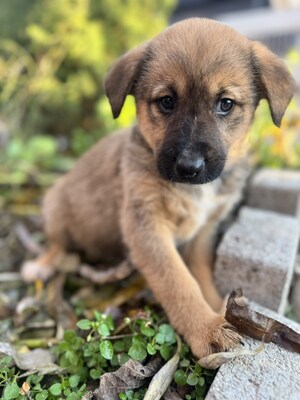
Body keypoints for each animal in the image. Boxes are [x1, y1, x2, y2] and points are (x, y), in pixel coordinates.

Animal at [21, 18, 296, 358]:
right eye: (167, 101)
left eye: (225, 104)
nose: (189, 167)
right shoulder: (147, 227)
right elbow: (178, 282)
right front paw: (207, 328)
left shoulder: (204, 231)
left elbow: (200, 274)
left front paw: (219, 307)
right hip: (56, 208)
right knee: (58, 244)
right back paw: (41, 266)